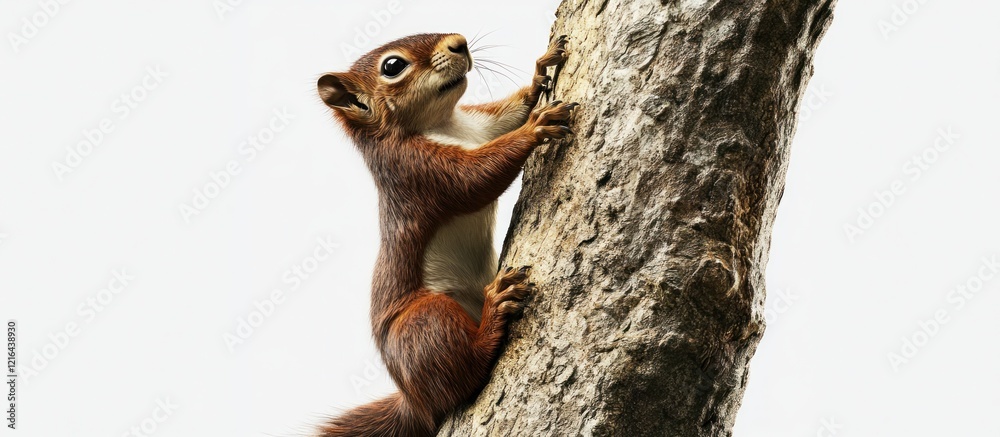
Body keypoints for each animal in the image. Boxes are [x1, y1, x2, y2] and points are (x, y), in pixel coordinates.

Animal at [315, 33, 577, 437]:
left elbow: (508, 113)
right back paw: (494, 312)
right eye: (392, 66)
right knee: (464, 374)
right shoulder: (416, 170)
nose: (460, 42)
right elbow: (476, 178)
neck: (447, 124)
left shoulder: (481, 126)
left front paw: (541, 70)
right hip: (425, 326)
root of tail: (414, 401)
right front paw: (536, 127)